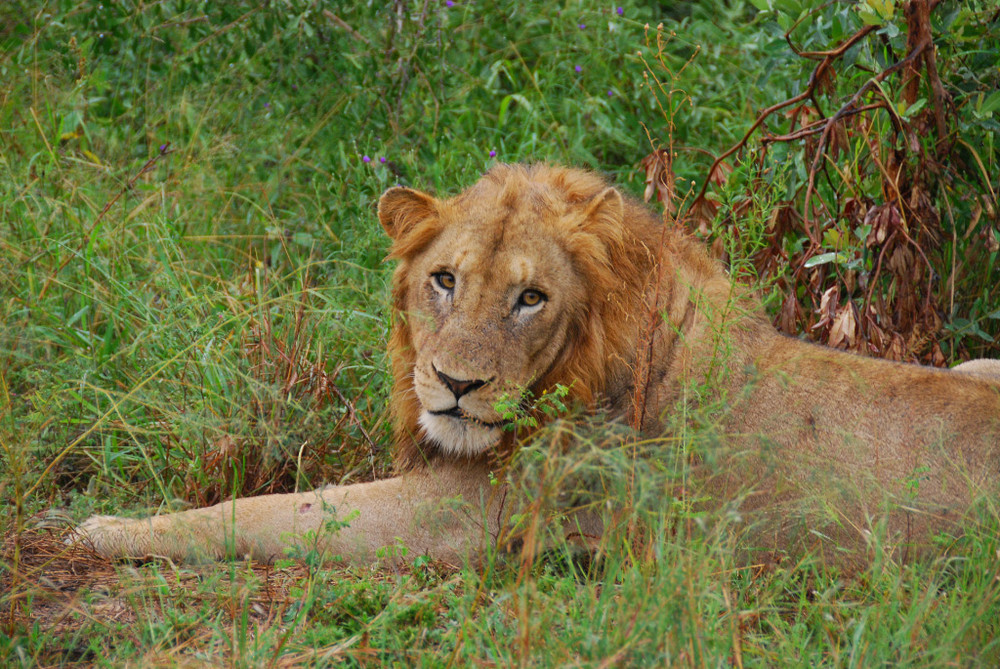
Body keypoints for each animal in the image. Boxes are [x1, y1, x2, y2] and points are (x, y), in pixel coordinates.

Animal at [78, 164, 1000, 568]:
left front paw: (106, 529)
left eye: (530, 298)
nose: (457, 385)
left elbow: (265, 511)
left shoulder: (467, 518)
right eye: (444, 280)